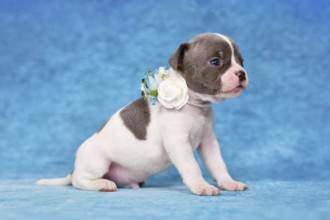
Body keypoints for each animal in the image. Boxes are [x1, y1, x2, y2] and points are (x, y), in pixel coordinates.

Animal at [36, 33, 248, 196]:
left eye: (241, 61)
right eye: (215, 62)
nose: (242, 73)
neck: (193, 104)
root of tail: (74, 168)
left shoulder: (208, 143)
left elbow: (218, 164)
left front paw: (229, 182)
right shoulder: (179, 144)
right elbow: (192, 167)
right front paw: (201, 186)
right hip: (97, 162)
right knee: (79, 181)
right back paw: (102, 184)